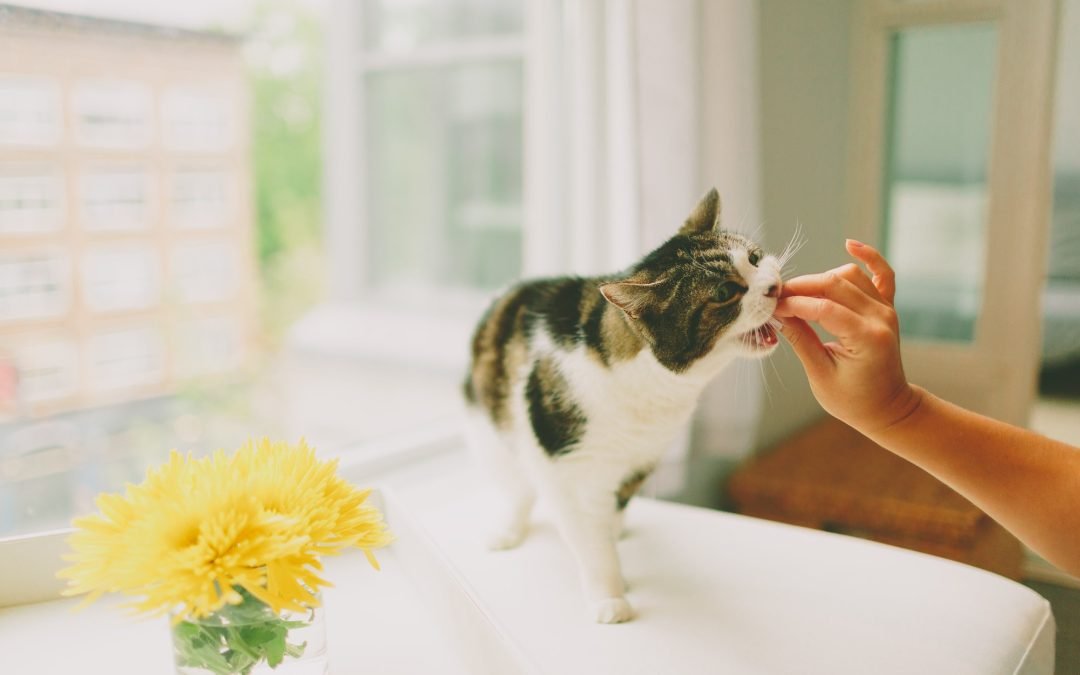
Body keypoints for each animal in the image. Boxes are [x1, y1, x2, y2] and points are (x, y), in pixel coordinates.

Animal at [462, 187, 786, 622]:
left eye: (753, 258)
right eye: (723, 293)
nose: (773, 286)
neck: (652, 392)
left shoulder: (639, 460)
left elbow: (612, 512)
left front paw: (616, 544)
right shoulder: (567, 472)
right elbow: (590, 539)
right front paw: (609, 595)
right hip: (493, 433)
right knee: (518, 488)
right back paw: (508, 531)